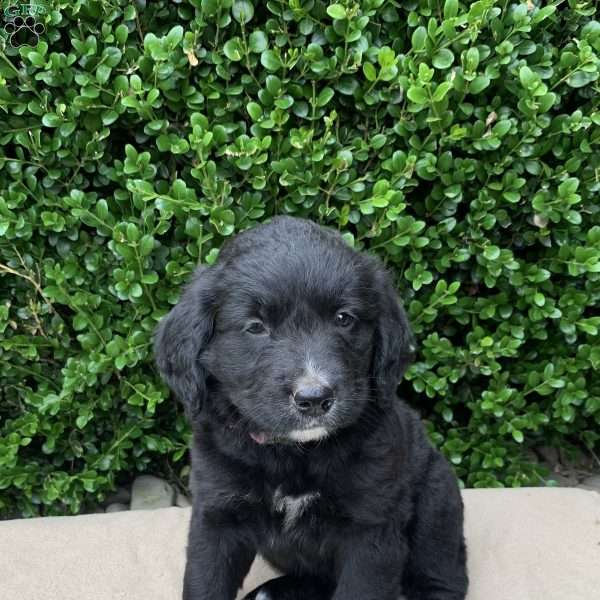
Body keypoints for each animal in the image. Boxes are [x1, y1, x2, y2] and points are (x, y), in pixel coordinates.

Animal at [155, 217, 468, 600]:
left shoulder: (372, 530)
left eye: (344, 318)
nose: (315, 398)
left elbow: (359, 590)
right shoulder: (217, 515)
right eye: (256, 327)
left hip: (437, 503)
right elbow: (205, 583)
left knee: (443, 575)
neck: (293, 454)